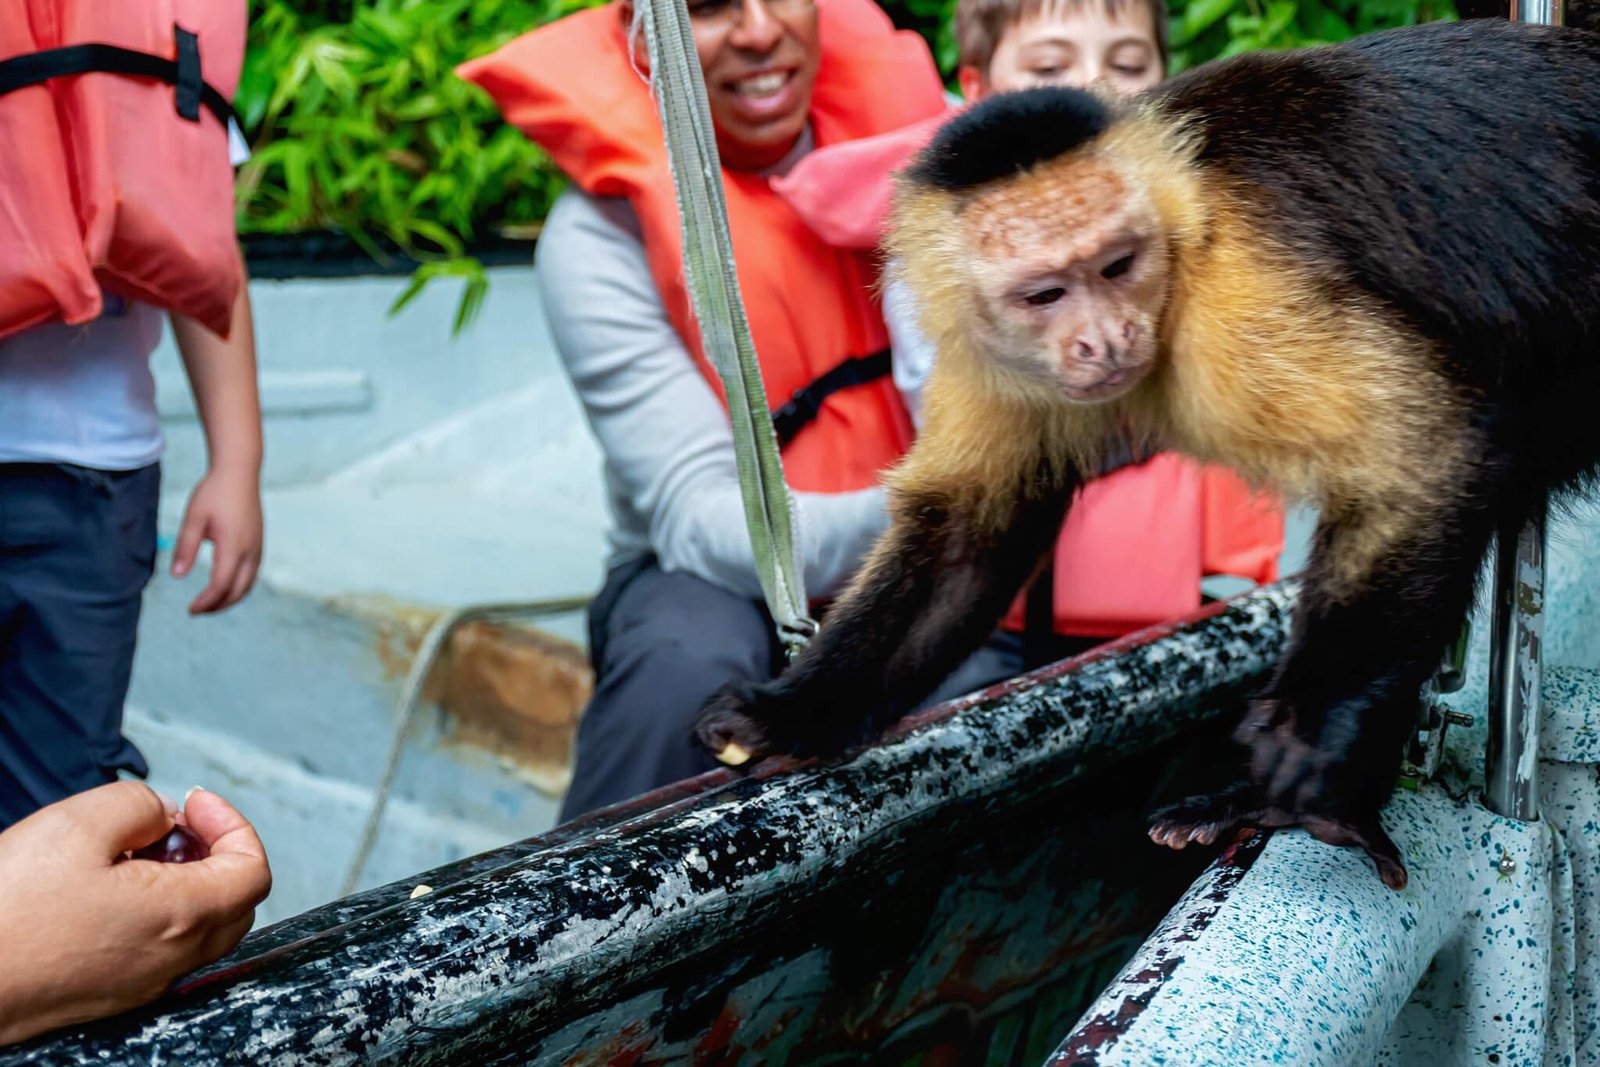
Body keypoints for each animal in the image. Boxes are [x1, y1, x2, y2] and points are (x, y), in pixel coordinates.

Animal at [694, 17, 1600, 889]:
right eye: (1046, 293)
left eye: (1117, 265)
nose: (1106, 339)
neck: (1175, 241)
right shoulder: (988, 348)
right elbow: (969, 537)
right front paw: (789, 713)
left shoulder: (1237, 294)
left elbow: (1418, 455)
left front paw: (1314, 743)